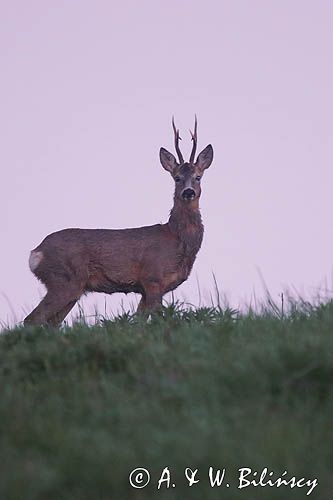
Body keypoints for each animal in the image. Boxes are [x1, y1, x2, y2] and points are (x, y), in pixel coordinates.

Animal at [24, 118, 214, 326]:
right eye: (177, 178)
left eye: (198, 177)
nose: (188, 192)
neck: (176, 239)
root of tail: (36, 253)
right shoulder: (152, 278)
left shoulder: (147, 289)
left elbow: (139, 321)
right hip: (64, 279)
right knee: (31, 319)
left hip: (72, 288)